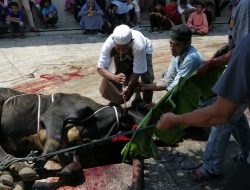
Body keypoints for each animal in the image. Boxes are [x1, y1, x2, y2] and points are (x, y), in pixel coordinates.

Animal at [0, 88, 143, 189]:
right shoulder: (55, 115)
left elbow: (73, 168)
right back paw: (16, 170)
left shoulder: (68, 153)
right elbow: (53, 143)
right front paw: (32, 170)